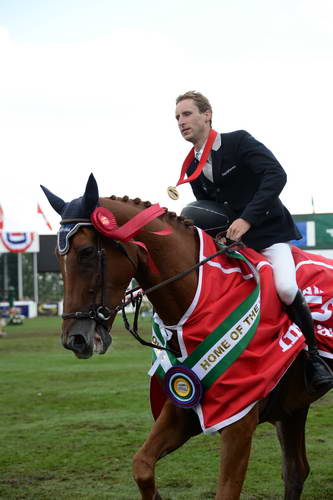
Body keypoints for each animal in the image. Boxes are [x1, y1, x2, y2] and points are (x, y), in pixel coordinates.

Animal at [42, 174, 330, 498]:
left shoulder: (239, 421)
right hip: (294, 406)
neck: (204, 300)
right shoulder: (183, 403)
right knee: (296, 470)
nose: (75, 339)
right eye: (57, 258)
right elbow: (142, 466)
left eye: (87, 252)